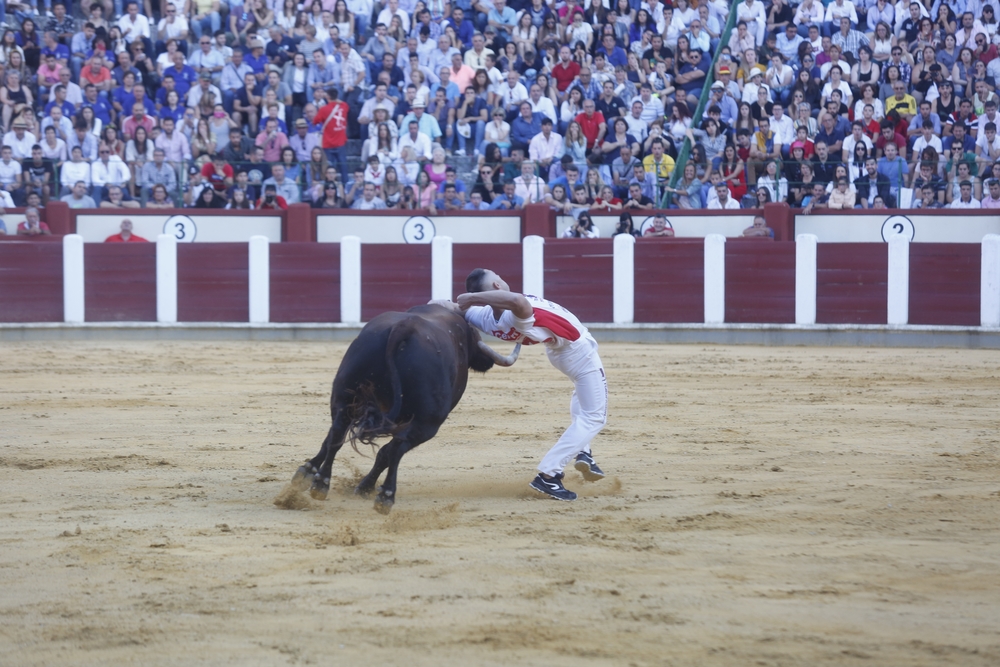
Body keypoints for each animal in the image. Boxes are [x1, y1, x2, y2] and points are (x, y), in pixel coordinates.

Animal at [292, 306, 520, 516]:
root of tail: (404, 327)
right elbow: (386, 453)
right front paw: (366, 488)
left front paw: (306, 473)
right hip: (428, 422)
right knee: (395, 449)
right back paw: (385, 496)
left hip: (344, 395)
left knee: (337, 433)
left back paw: (320, 483)